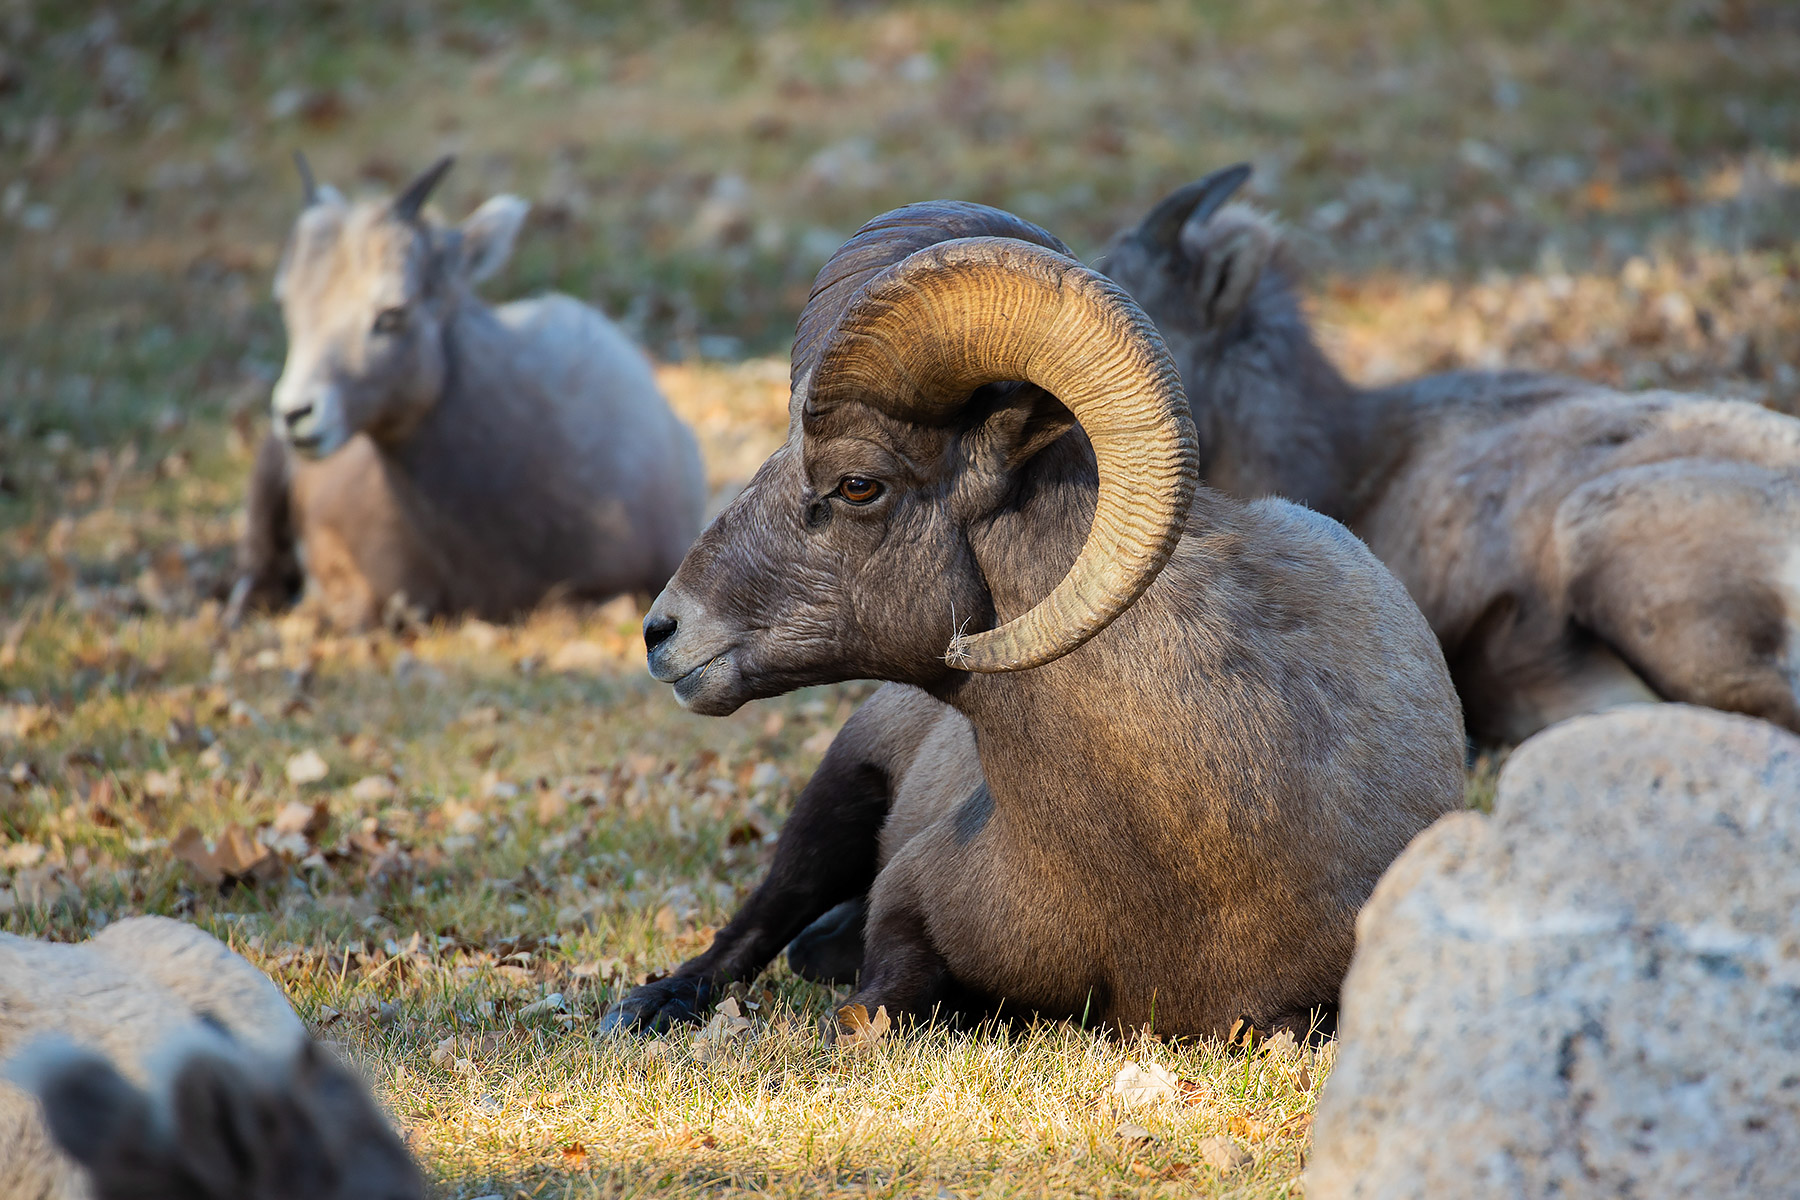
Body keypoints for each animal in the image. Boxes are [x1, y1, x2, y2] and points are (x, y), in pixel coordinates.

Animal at [602, 201, 1466, 1040]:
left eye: (857, 483)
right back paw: (643, 1009)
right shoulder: (906, 901)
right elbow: (872, 1013)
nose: (664, 632)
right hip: (833, 802)